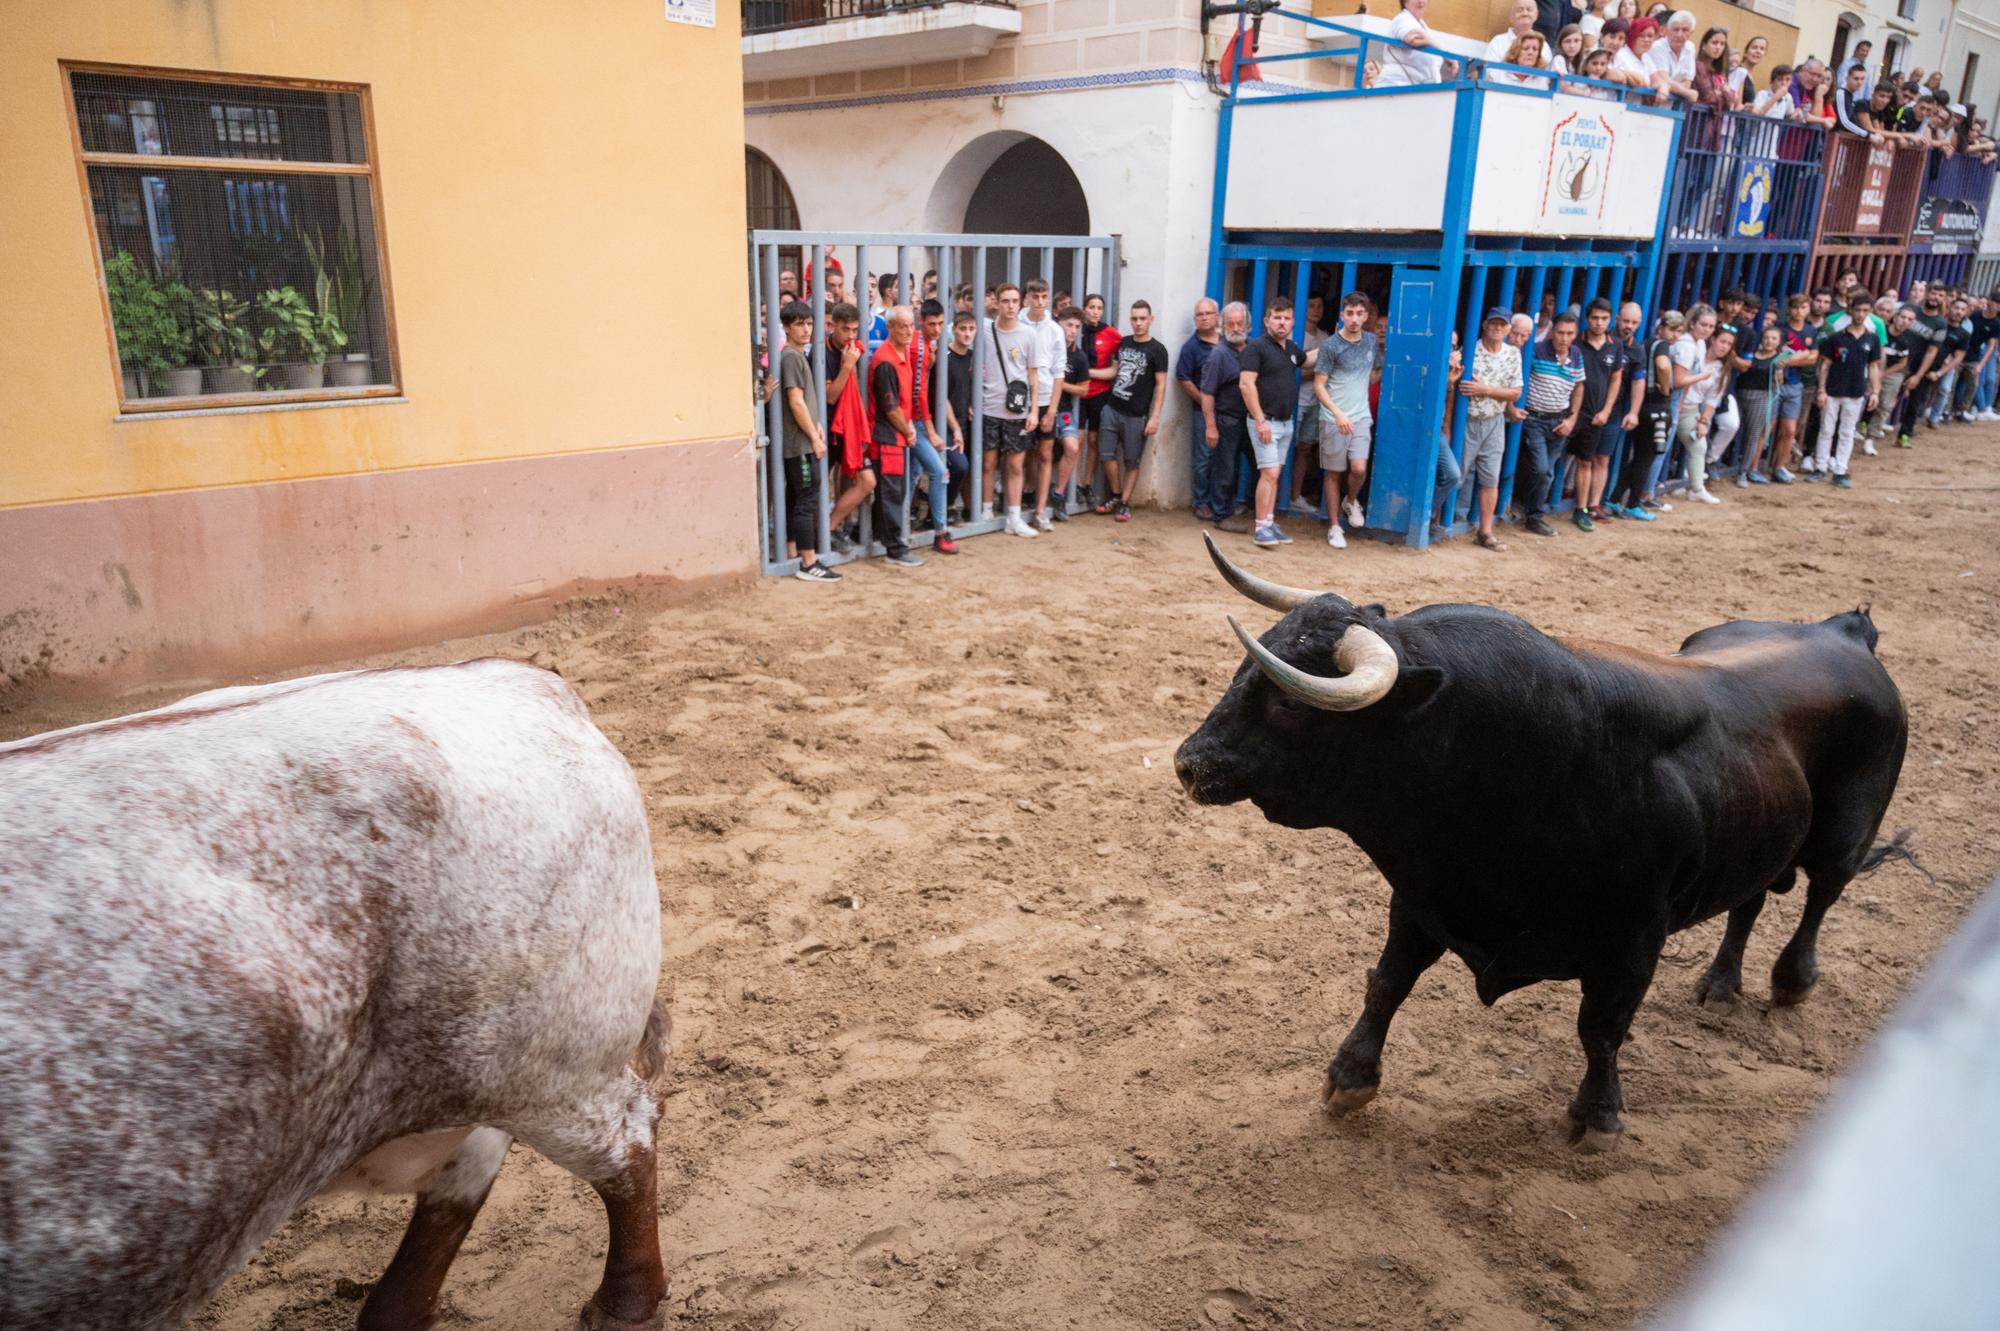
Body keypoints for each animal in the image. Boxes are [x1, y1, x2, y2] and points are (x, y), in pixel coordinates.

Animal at [1176, 535, 1912, 1143]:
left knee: (1820, 896)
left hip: (1844, 836)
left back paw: (1790, 981)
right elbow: (1387, 983)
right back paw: (1720, 981)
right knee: (1750, 900)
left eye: (1292, 703)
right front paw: (1350, 1078)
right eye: (1244, 668)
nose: (1188, 762)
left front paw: (1598, 1116)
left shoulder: (1633, 939)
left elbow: (1602, 1029)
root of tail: (1844, 636)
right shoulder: (1422, 896)